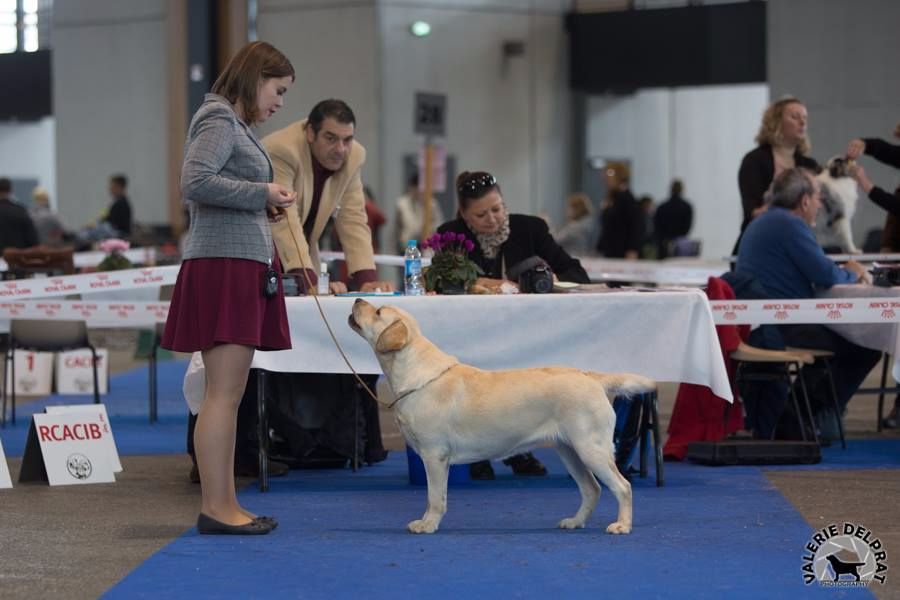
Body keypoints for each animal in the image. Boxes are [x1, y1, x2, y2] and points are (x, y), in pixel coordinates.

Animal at [348, 300, 656, 536]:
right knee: (592, 489)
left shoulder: (434, 455)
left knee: (622, 486)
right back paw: (574, 522)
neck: (413, 373)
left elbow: (435, 497)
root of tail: (591, 376)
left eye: (378, 312)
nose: (357, 300)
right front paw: (426, 522)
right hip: (570, 451)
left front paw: (427, 525)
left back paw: (622, 526)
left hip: (590, 448)